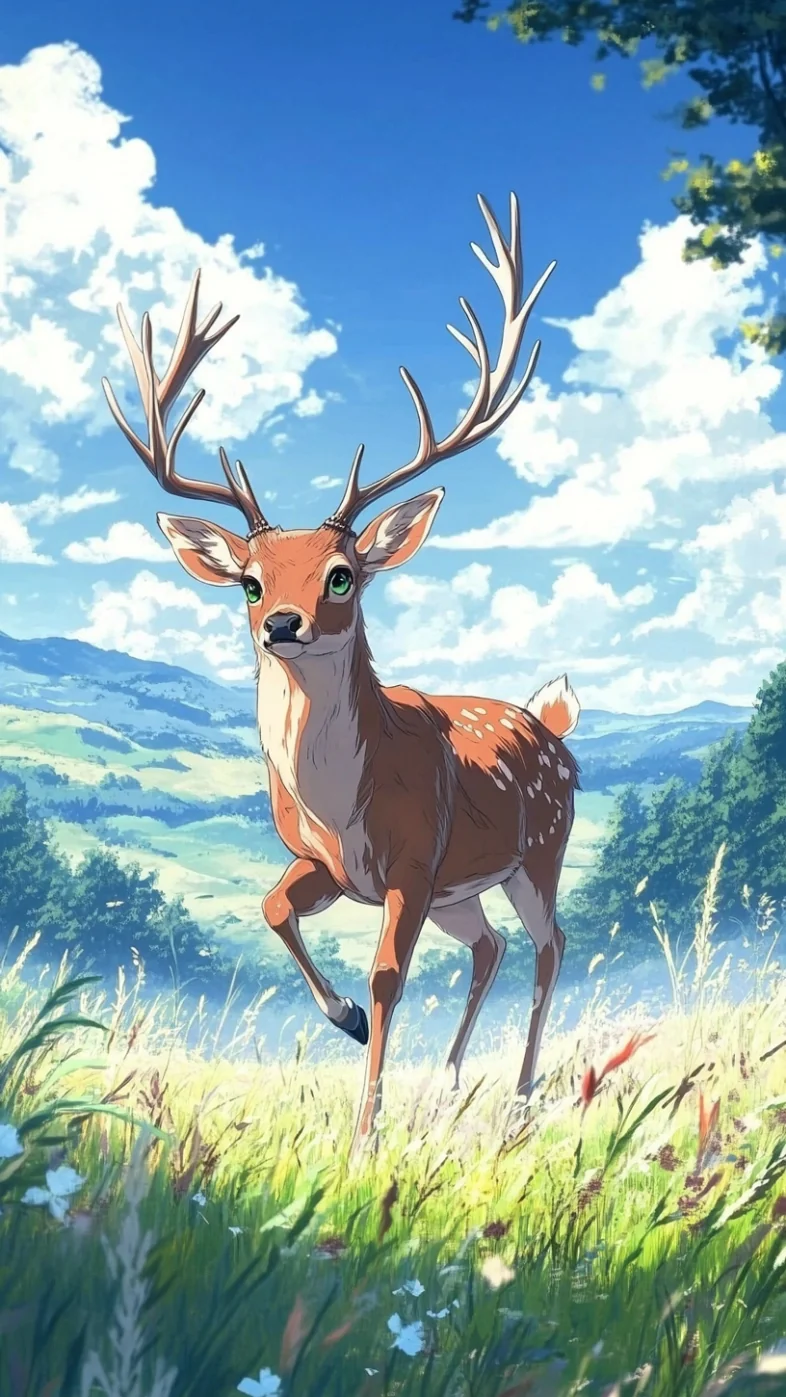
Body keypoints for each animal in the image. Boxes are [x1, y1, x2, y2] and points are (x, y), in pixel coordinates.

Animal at [102, 193, 581, 1158]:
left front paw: (365, 1135)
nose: (281, 624)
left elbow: (390, 976)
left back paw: (517, 1095)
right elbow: (268, 907)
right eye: (250, 581)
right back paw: (448, 1082)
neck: (344, 799)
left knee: (549, 945)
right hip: (465, 887)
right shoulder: (324, 863)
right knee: (490, 948)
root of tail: (554, 725)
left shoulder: (413, 859)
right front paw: (347, 1022)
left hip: (537, 850)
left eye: (341, 575)